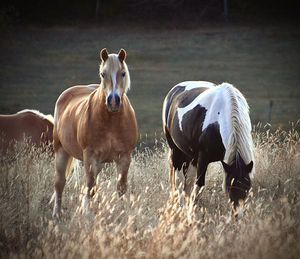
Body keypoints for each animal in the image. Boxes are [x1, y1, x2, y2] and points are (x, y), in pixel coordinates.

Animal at [53, 47, 138, 218]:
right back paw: (57, 215)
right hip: (62, 151)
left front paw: (122, 214)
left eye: (123, 73)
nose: (113, 101)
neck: (112, 121)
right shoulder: (90, 157)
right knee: (60, 183)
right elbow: (90, 189)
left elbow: (121, 188)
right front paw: (89, 215)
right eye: (102, 74)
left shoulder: (124, 157)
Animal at [163, 82, 254, 217]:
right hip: (177, 152)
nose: (238, 215)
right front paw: (192, 213)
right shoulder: (203, 159)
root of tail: (174, 90)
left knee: (188, 182)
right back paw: (181, 207)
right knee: (179, 180)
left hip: (191, 157)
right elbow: (199, 186)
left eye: (247, 187)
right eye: (230, 187)